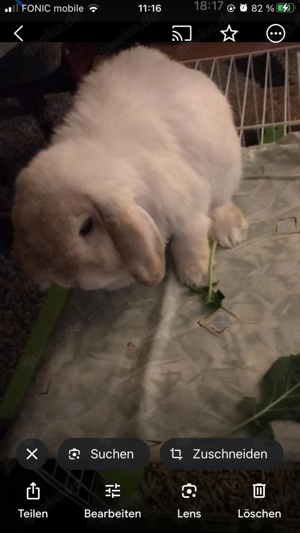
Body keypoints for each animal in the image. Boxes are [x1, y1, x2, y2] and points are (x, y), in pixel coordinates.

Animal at [12, 46, 245, 290]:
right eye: (34, 238)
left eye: (86, 227)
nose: (66, 279)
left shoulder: (186, 203)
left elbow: (191, 237)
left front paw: (196, 275)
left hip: (224, 170)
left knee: (220, 203)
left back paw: (230, 231)